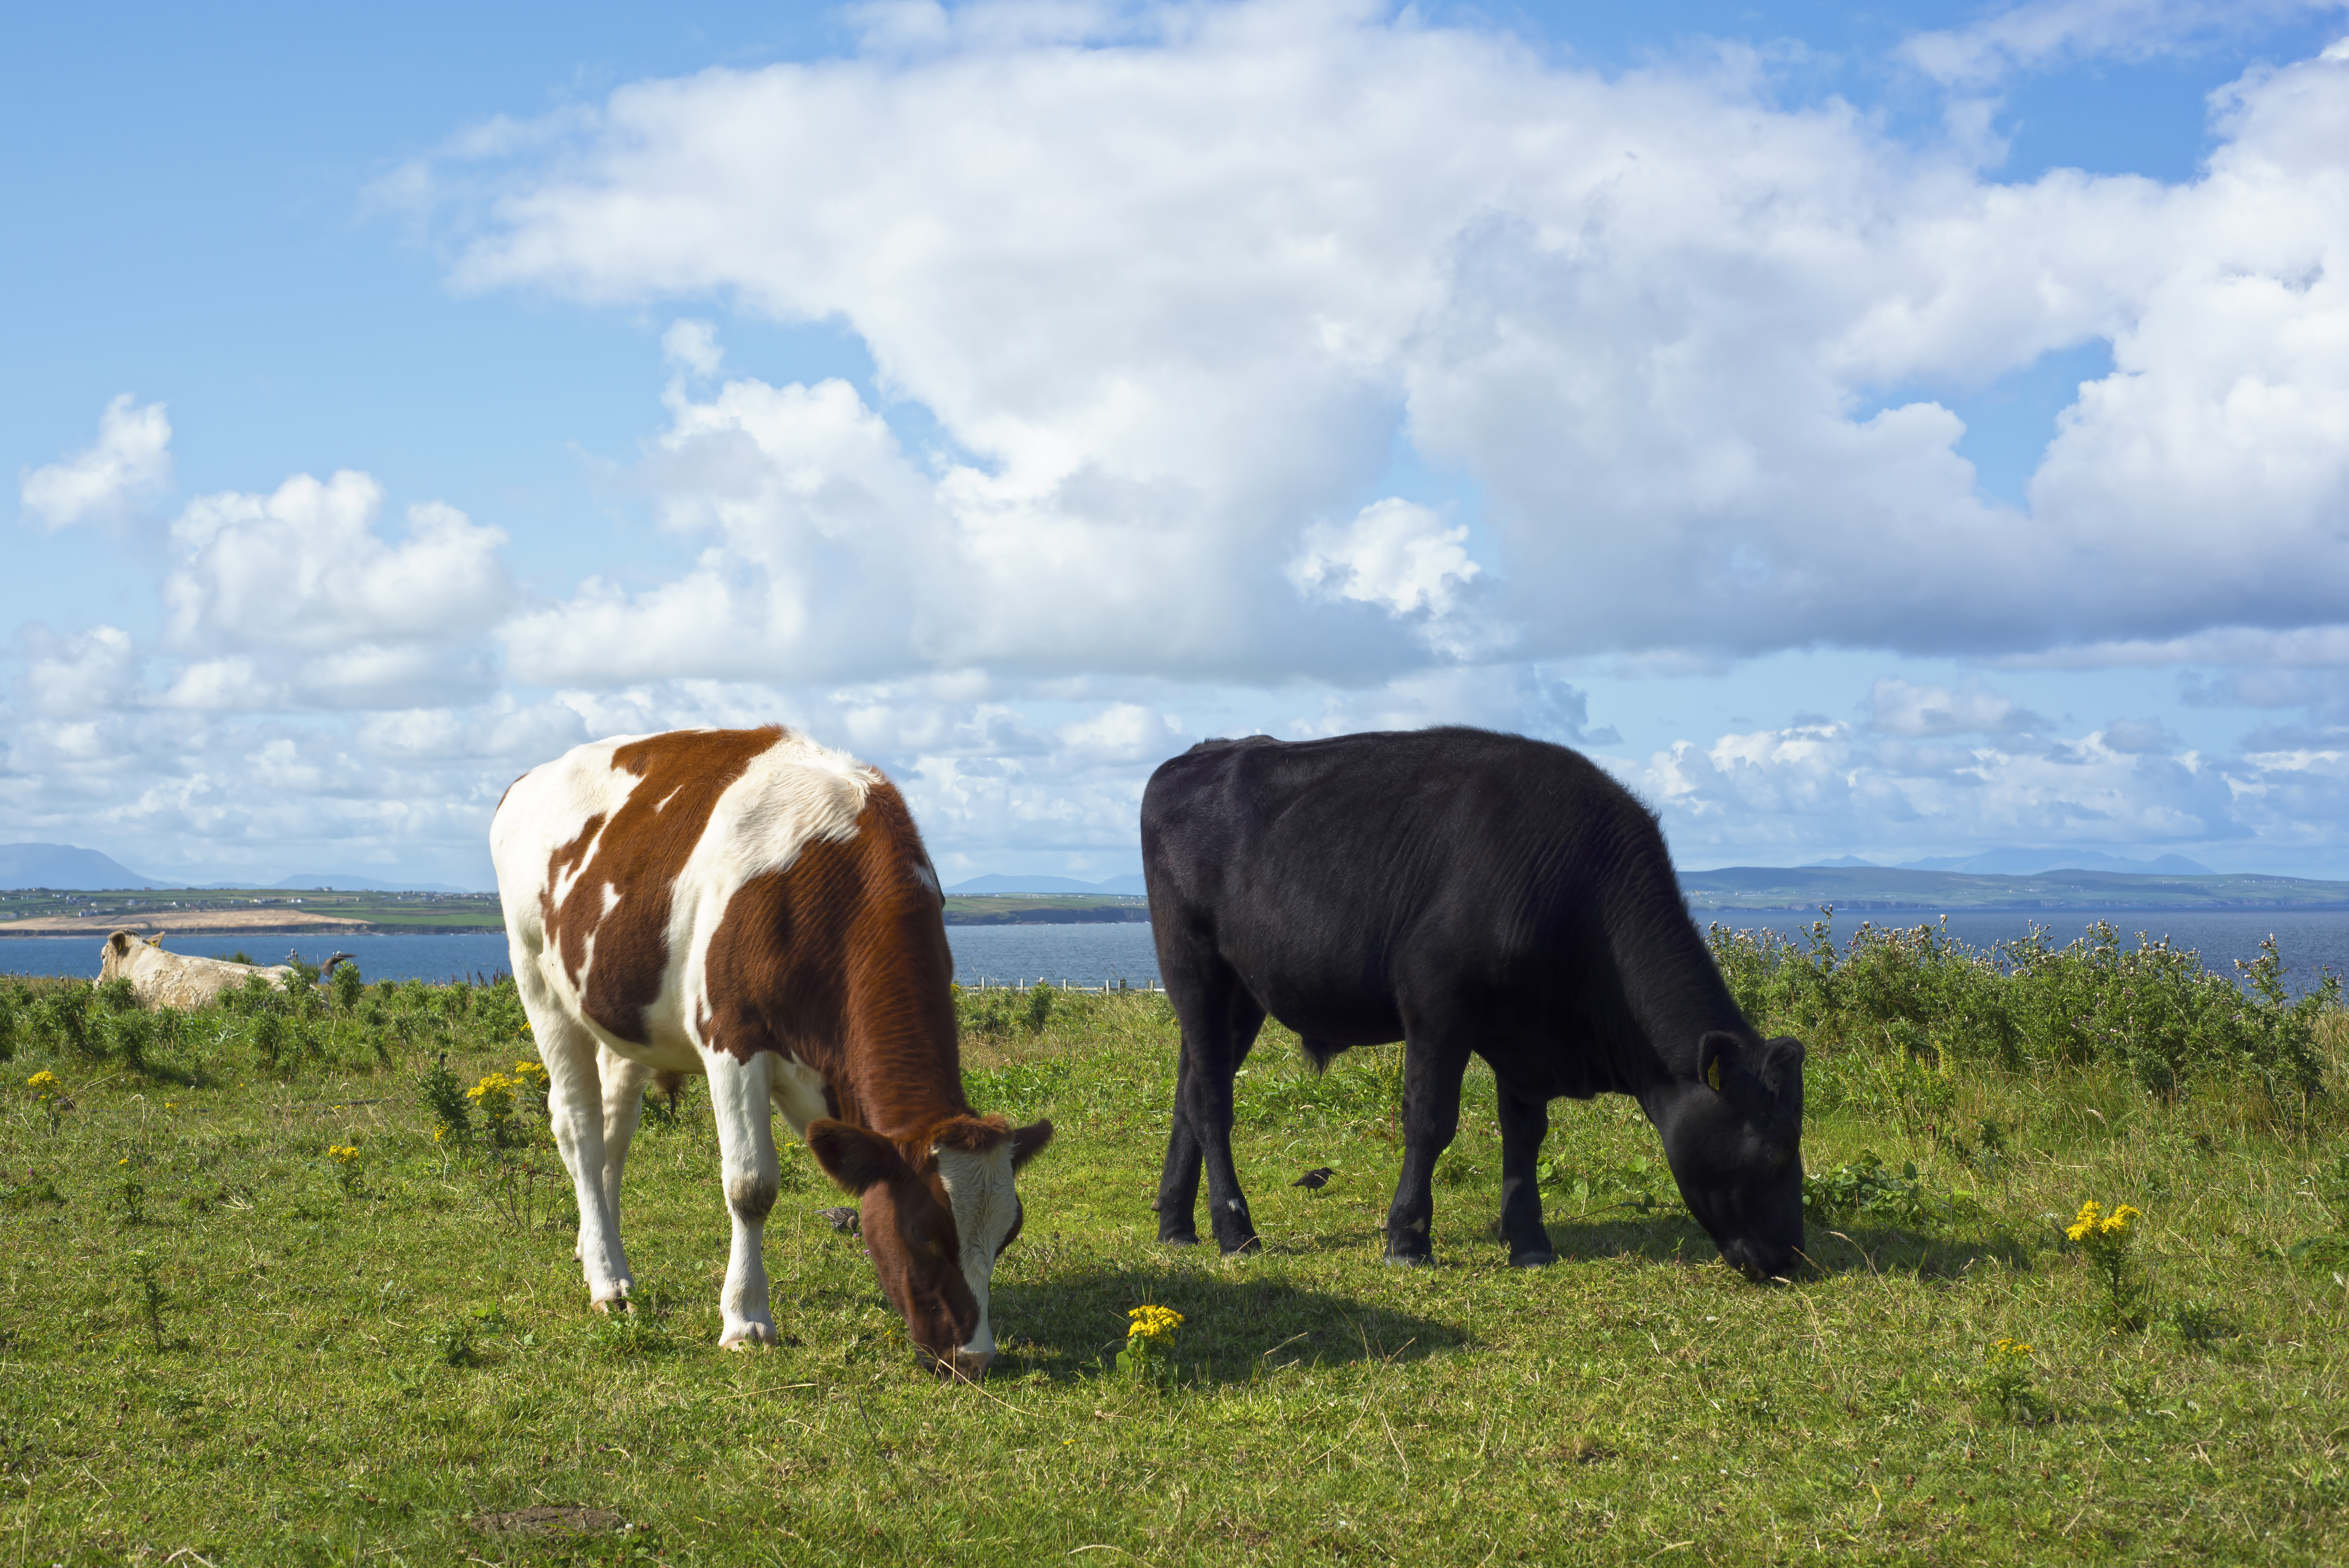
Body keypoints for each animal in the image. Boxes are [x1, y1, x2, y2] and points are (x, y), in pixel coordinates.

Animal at [491, 723, 1052, 1370]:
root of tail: (527, 779)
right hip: (537, 980)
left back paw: (597, 1247)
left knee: (615, 1127)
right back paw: (609, 1282)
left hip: (623, 1011)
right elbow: (751, 1187)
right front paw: (746, 1319)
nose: (974, 1357)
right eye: (923, 1233)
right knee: (578, 1127)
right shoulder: (733, 1040)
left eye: (1009, 1234)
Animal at [1146, 727, 1804, 1277]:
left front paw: (1530, 1241)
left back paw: (1176, 1225)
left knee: (1188, 1092)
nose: (1793, 1258)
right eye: (1777, 1148)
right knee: (1211, 1101)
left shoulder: (1524, 1033)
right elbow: (1431, 1121)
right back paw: (1236, 1231)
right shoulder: (1437, 1001)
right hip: (1193, 967)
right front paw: (1408, 1241)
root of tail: (1202, 752)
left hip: (1242, 994)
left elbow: (1526, 1132)